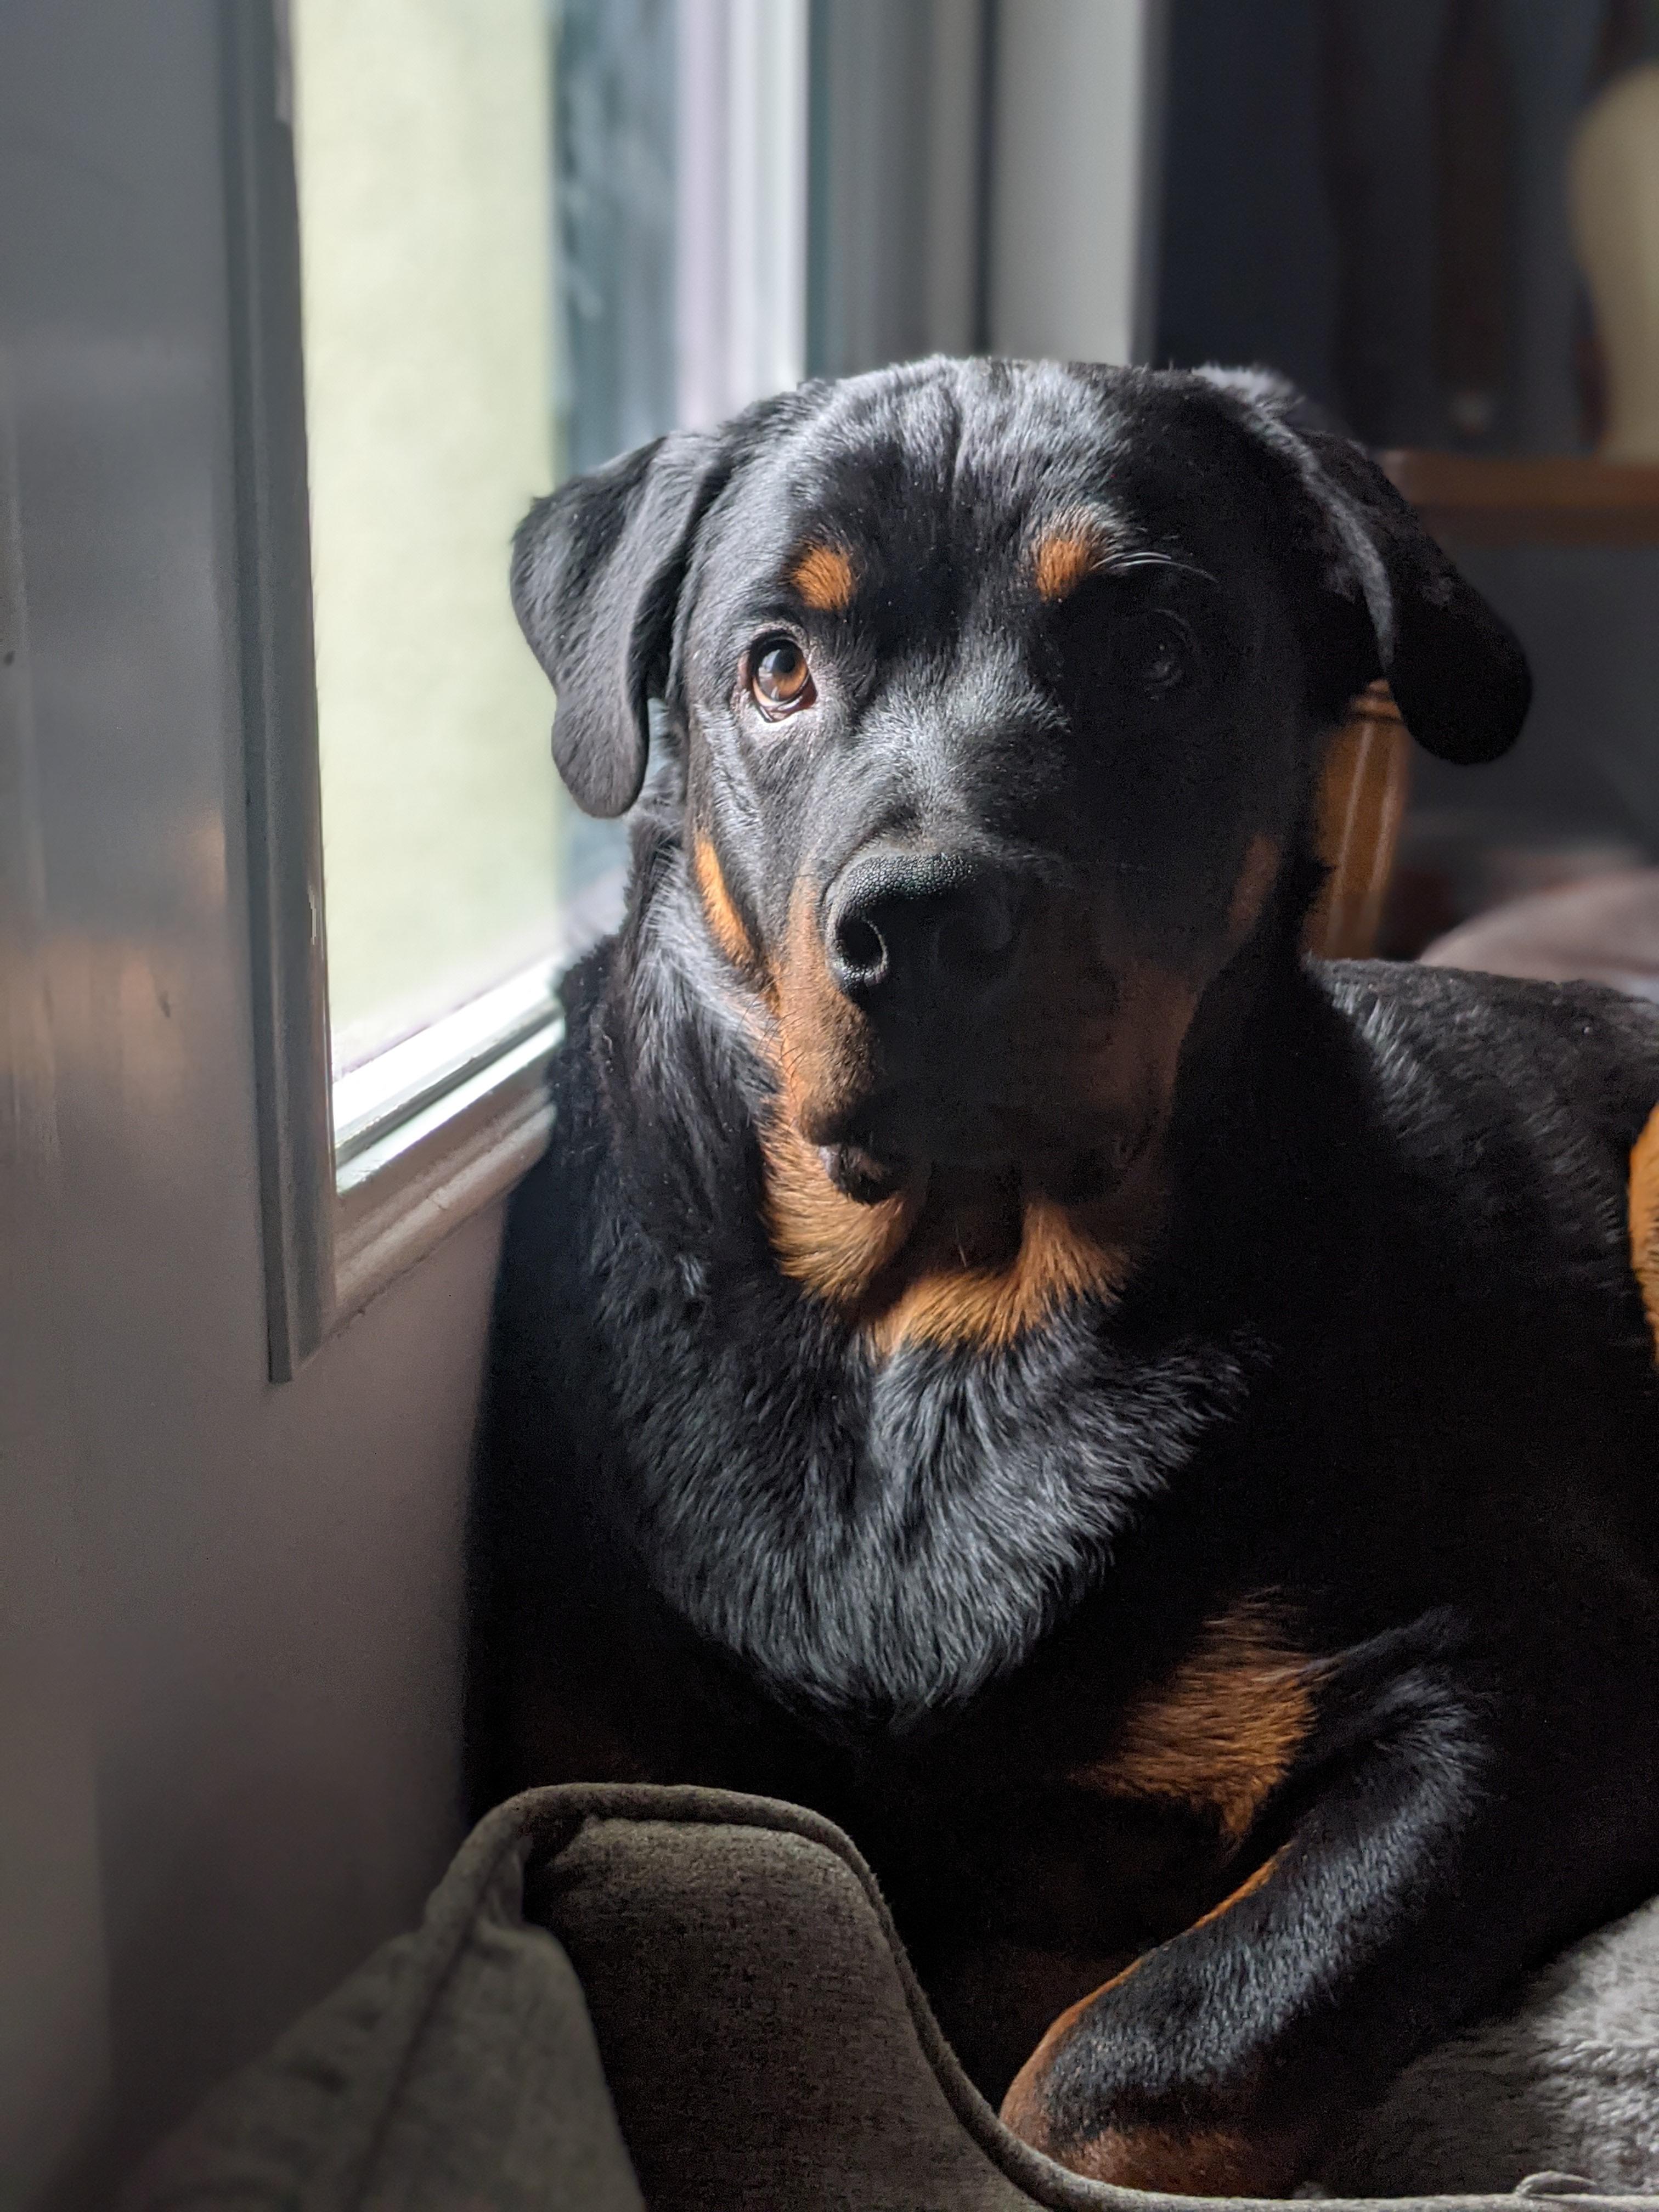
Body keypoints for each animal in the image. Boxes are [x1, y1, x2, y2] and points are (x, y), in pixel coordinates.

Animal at [464, 363, 1659, 2194]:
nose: (923, 925)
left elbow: (1141, 2053)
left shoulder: (1534, 1675)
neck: (939, 1335)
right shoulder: (617, 1752)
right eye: (775, 667)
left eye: (1157, 658)